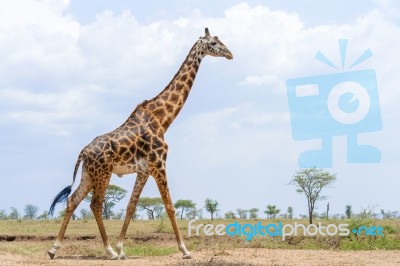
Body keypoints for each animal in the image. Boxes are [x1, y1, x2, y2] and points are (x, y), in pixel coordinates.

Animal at [47, 27, 233, 260]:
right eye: (214, 43)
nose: (230, 54)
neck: (162, 120)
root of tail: (82, 152)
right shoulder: (159, 164)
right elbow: (170, 206)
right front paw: (185, 250)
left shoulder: (144, 170)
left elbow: (131, 206)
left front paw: (122, 248)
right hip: (103, 173)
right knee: (95, 204)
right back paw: (108, 251)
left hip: (89, 174)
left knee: (73, 200)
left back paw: (54, 249)